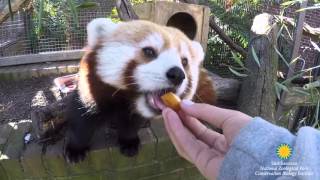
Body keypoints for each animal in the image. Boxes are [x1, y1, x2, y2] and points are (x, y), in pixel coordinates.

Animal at [63, 18, 216, 163]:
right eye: (149, 51)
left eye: (184, 61)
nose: (177, 74)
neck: (126, 98)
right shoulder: (91, 88)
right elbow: (81, 121)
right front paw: (76, 149)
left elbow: (131, 124)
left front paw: (129, 142)